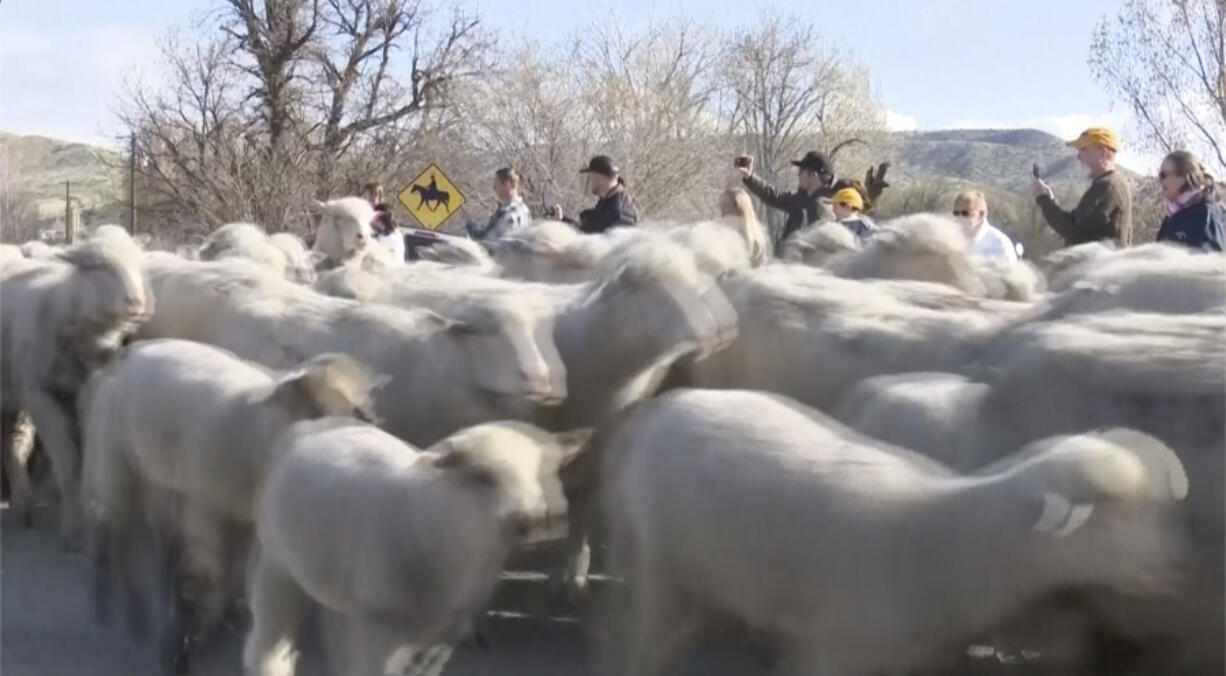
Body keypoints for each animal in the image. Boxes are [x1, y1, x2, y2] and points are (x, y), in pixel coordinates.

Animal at [0, 235, 152, 537]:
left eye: (139, 264)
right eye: (95, 266)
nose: (137, 304)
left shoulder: (84, 393)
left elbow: (85, 457)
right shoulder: (40, 396)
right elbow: (67, 460)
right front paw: (72, 525)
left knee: (11, 441)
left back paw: (22, 504)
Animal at [79, 343, 380, 676]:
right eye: (317, 406)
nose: (367, 425)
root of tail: (123, 356)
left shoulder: (242, 519)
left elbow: (225, 577)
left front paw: (210, 628)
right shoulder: (207, 506)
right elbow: (203, 578)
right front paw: (182, 651)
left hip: (154, 476)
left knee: (143, 532)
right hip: (116, 461)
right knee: (114, 527)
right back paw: (113, 602)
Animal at [243, 417, 588, 676]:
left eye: (548, 471)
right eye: (482, 477)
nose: (539, 522)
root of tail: (314, 423)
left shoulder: (444, 634)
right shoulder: (378, 626)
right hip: (277, 564)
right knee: (269, 646)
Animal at [598, 387, 1191, 676]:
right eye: (1110, 515)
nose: (1178, 567)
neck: (950, 536)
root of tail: (659, 410)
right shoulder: (835, 649)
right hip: (660, 566)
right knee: (643, 643)